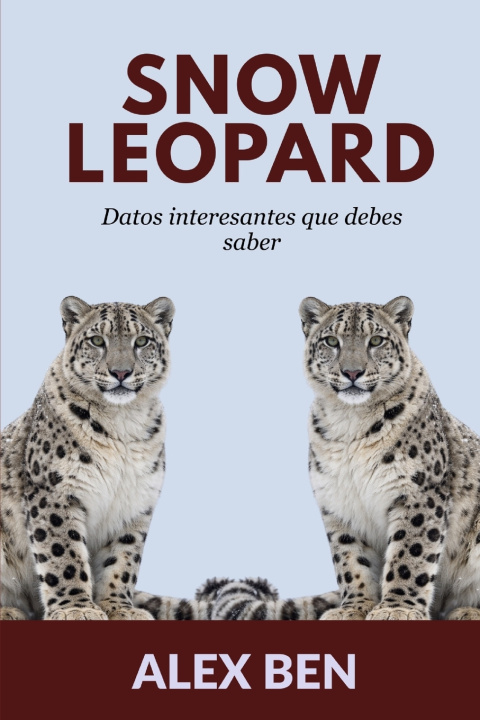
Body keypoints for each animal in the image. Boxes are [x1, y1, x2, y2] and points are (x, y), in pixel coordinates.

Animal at [1, 295, 174, 620]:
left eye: (142, 341)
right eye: (96, 340)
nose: (121, 373)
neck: (123, 422)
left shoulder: (135, 502)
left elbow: (123, 559)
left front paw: (120, 609)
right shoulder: (55, 492)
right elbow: (63, 553)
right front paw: (77, 609)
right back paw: (9, 611)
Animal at [299, 295, 480, 620]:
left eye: (376, 340)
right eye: (331, 341)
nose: (352, 372)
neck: (350, 423)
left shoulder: (418, 492)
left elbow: (410, 554)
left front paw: (397, 609)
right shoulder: (338, 502)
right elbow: (350, 559)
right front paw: (353, 608)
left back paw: (467, 612)